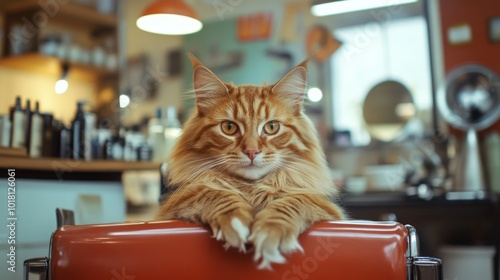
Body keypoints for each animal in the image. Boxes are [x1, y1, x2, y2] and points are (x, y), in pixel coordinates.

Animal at [158, 53, 346, 270]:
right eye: (229, 127)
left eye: (271, 127)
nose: (251, 151)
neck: (252, 189)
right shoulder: (173, 207)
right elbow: (213, 192)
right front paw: (235, 220)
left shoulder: (327, 209)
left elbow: (294, 201)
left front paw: (271, 228)